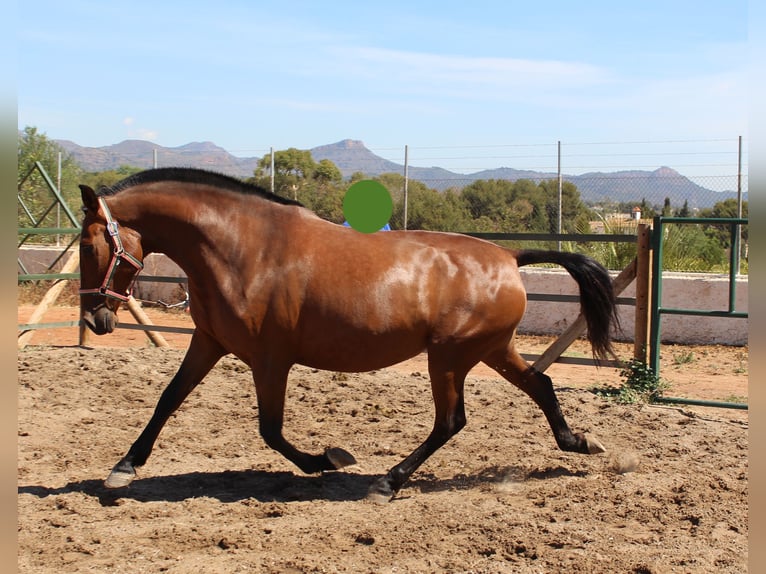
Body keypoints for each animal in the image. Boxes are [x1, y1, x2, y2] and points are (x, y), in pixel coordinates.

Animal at [78, 166, 620, 504]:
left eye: (87, 245)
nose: (95, 319)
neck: (243, 249)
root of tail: (509, 256)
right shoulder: (208, 344)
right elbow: (168, 399)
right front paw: (124, 467)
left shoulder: (270, 360)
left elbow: (269, 429)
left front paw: (328, 459)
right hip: (490, 350)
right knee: (539, 385)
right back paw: (579, 442)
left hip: (449, 357)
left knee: (451, 421)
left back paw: (387, 483)